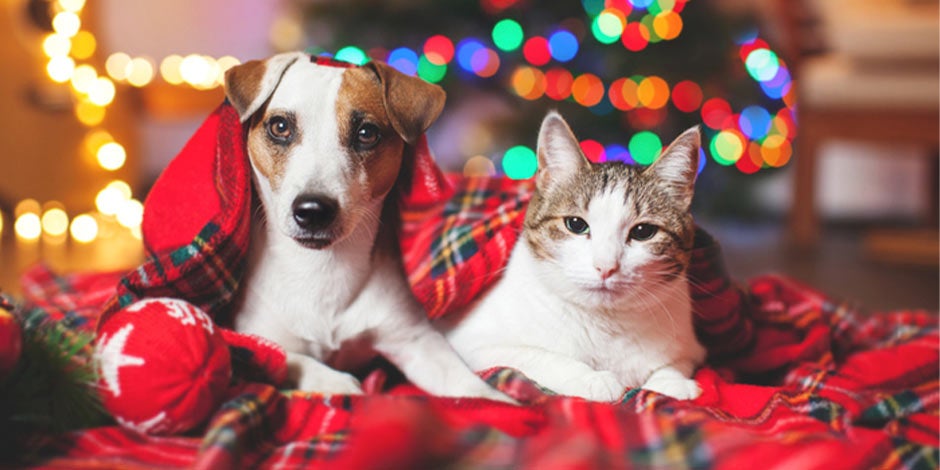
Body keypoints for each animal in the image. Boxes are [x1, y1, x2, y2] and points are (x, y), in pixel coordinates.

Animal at [221, 52, 510, 400]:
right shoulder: (254, 335)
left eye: (366, 133)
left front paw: (501, 400)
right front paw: (333, 381)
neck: (321, 269)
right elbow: (285, 357)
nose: (313, 210)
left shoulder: (415, 340)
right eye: (280, 127)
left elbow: (466, 383)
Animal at [440, 112, 704, 402]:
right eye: (576, 224)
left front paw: (670, 382)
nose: (605, 267)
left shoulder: (690, 348)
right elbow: (537, 356)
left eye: (643, 231)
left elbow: (673, 364)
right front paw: (591, 378)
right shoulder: (472, 344)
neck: (605, 325)